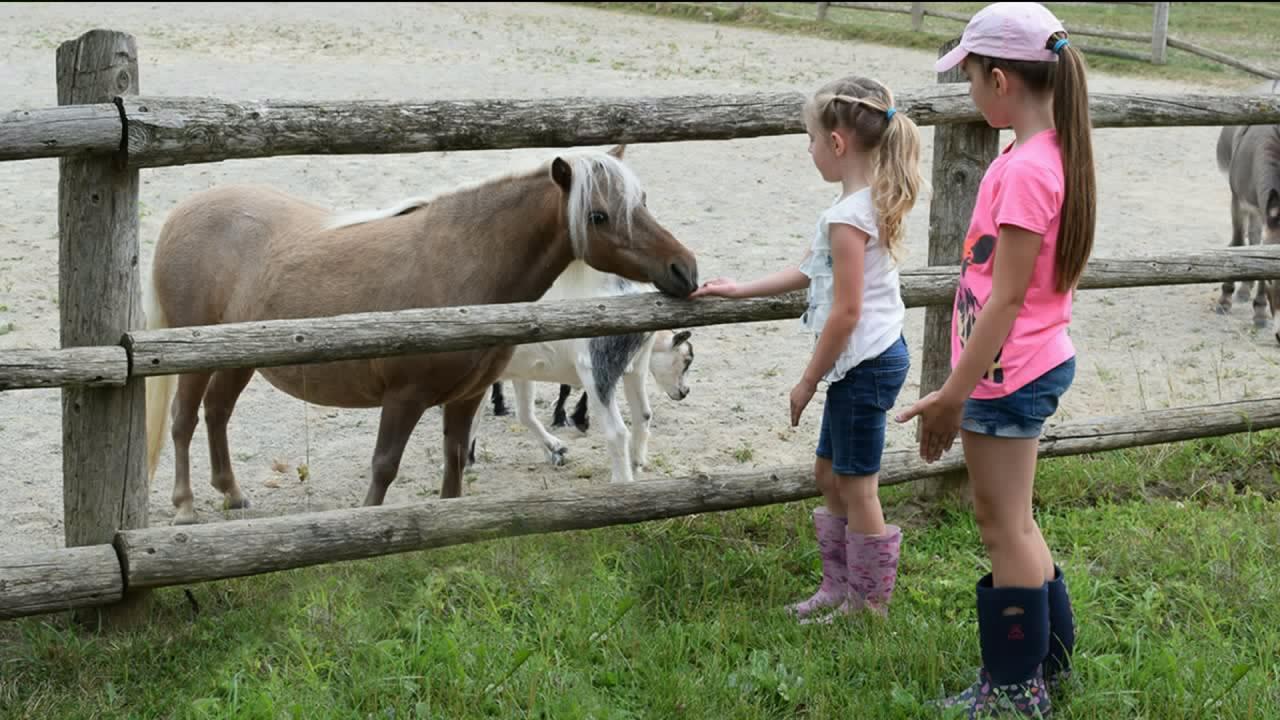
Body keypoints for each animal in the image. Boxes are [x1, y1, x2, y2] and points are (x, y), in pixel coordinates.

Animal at [468, 258, 696, 481]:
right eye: (686, 360)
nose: (685, 392)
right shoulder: (520, 372)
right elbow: (520, 414)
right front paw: (555, 449)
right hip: (632, 368)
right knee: (642, 415)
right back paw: (635, 463)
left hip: (596, 367)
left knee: (618, 431)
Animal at [1208, 78, 1280, 340]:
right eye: (1271, 280)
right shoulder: (1238, 202)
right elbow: (1239, 244)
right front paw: (1225, 298)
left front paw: (1259, 312)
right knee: (1251, 239)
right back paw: (1240, 291)